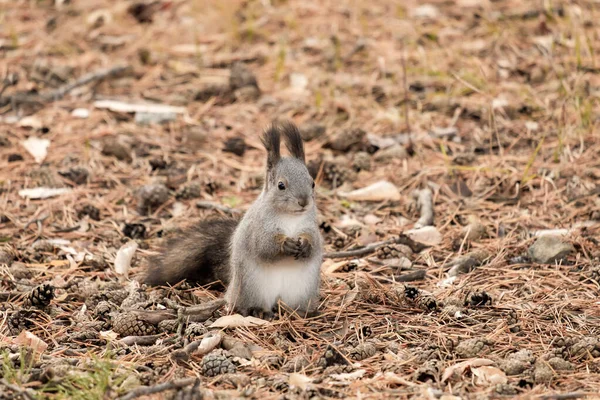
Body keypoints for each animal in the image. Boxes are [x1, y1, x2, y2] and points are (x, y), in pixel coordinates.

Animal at [144, 122, 324, 318]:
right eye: (281, 185)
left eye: (313, 183)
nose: (303, 202)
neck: (290, 217)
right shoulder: (258, 228)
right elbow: (263, 246)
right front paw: (285, 245)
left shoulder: (311, 226)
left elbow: (315, 243)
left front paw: (306, 245)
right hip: (252, 287)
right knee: (248, 305)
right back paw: (258, 311)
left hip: (301, 291)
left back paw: (301, 313)